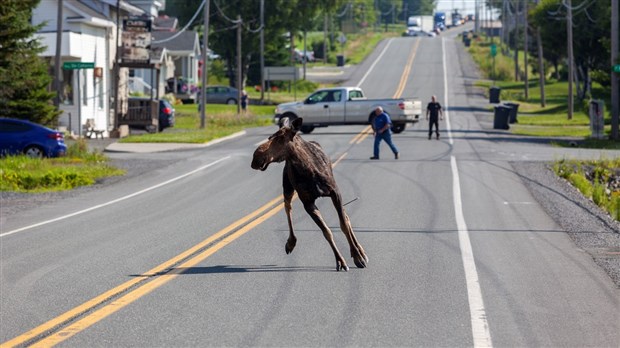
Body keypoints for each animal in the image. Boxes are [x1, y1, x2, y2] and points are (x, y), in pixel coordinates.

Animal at [251, 117, 368, 272]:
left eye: (281, 138)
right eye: (270, 137)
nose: (256, 158)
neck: (308, 169)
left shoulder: (335, 192)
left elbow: (343, 224)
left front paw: (357, 256)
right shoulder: (308, 202)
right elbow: (327, 232)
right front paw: (340, 260)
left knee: (346, 216)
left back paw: (361, 250)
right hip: (287, 187)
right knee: (287, 207)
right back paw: (291, 242)